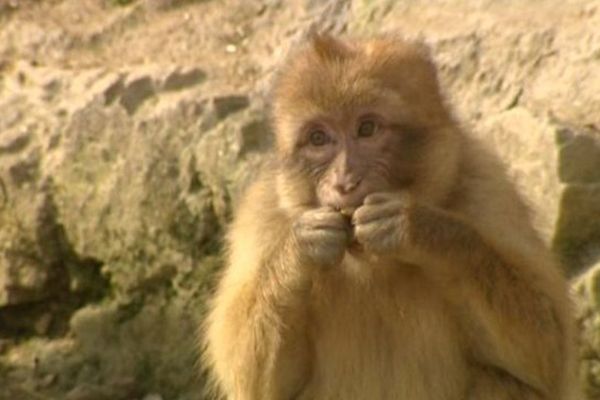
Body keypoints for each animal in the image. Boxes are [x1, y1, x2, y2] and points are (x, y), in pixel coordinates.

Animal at [200, 34, 576, 400]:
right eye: (318, 138)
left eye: (367, 128)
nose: (344, 181)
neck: (372, 265)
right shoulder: (261, 217)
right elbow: (256, 381)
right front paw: (302, 246)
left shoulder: (488, 189)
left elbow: (548, 347)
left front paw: (416, 227)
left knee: (501, 383)